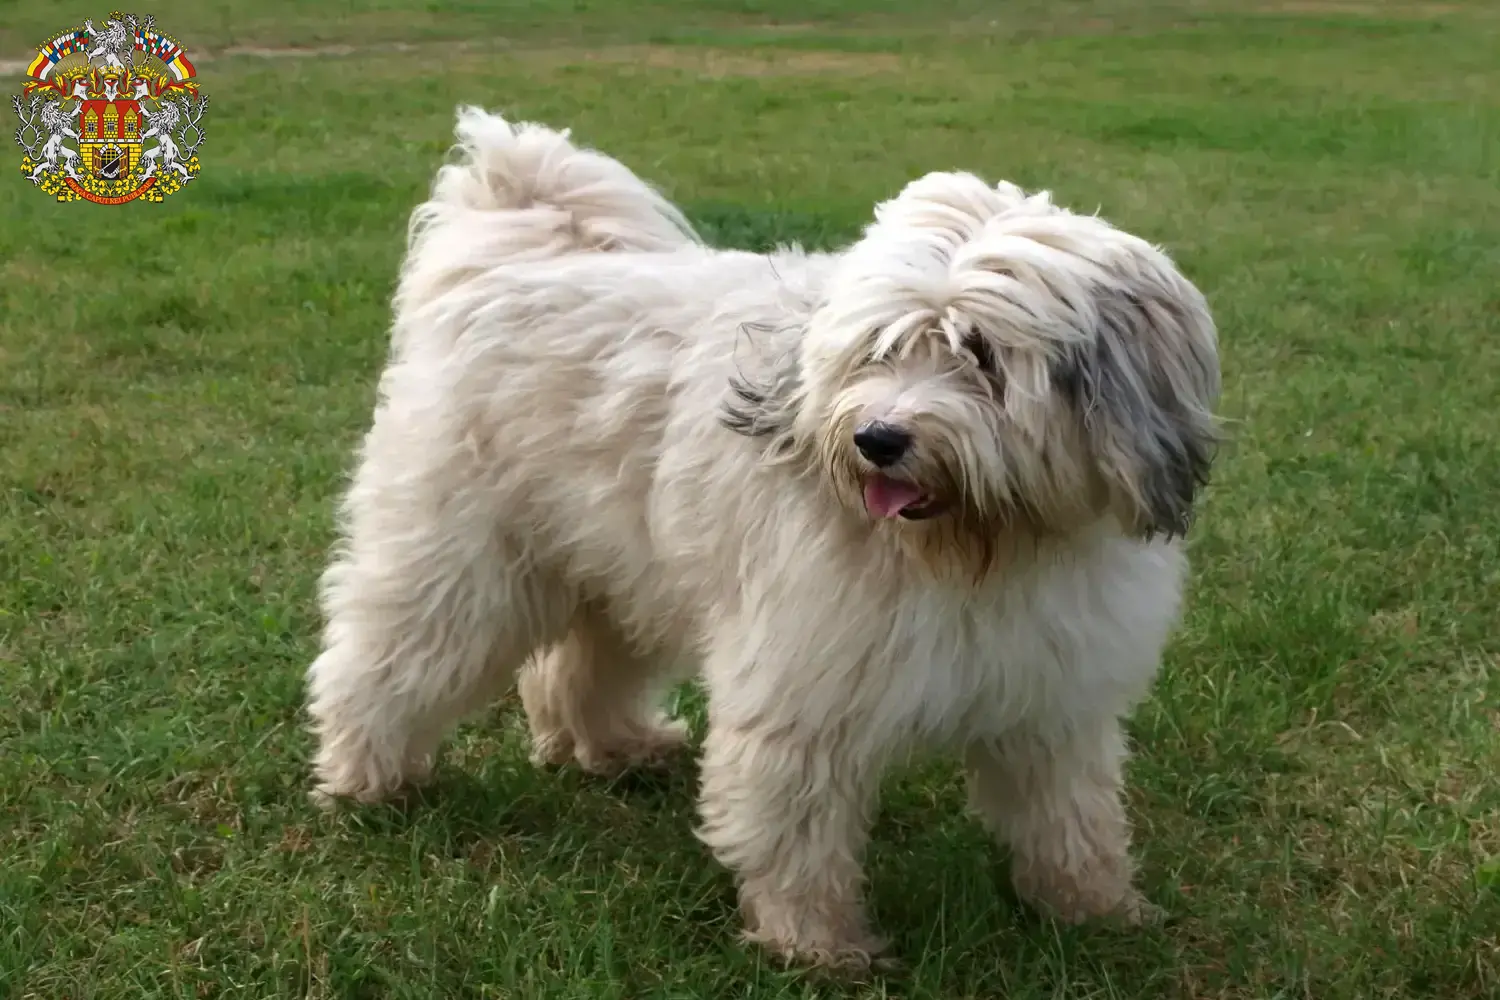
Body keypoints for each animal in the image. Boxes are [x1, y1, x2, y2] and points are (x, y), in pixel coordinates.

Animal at [304, 107, 1218, 971]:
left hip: (624, 565)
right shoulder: (806, 682)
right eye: (879, 349)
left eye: (982, 355)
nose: (879, 439)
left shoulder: (1052, 691)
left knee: (577, 666)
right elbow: (796, 823)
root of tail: (507, 260)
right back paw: (365, 781)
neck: (981, 547)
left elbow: (1069, 812)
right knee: (383, 660)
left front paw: (1097, 909)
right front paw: (817, 942)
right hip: (460, 561)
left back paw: (616, 748)